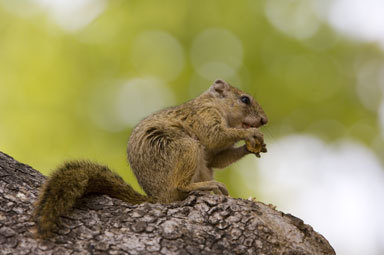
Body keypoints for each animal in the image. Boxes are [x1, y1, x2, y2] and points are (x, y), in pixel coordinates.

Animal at [33, 79, 268, 237]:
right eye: (244, 99)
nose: (264, 120)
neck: (217, 107)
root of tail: (158, 197)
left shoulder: (213, 155)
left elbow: (218, 159)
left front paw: (254, 147)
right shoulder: (203, 116)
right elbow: (215, 136)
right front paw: (249, 134)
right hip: (185, 148)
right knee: (181, 185)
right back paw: (205, 186)